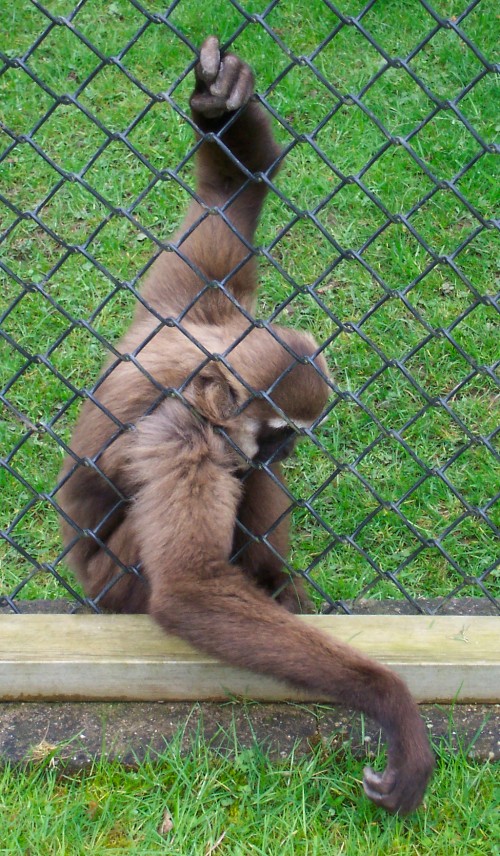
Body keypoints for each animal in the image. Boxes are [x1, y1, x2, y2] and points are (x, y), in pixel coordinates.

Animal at [57, 38, 434, 816]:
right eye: (284, 428)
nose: (283, 447)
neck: (202, 374)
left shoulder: (191, 304)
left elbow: (228, 192)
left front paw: (220, 108)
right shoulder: (184, 439)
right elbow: (192, 587)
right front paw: (388, 702)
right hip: (114, 592)